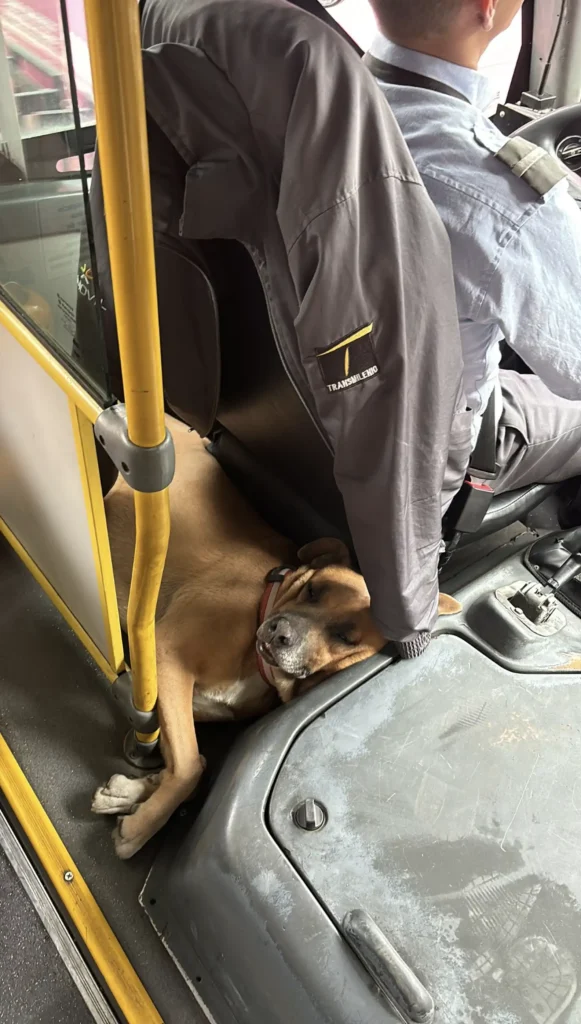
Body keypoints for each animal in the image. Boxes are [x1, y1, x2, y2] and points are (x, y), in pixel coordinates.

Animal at [93, 415, 459, 856]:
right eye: (313, 590)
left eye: (346, 637)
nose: (280, 633)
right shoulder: (166, 659)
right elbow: (188, 766)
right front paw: (141, 825)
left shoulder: (180, 699)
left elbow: (188, 759)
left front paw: (133, 796)